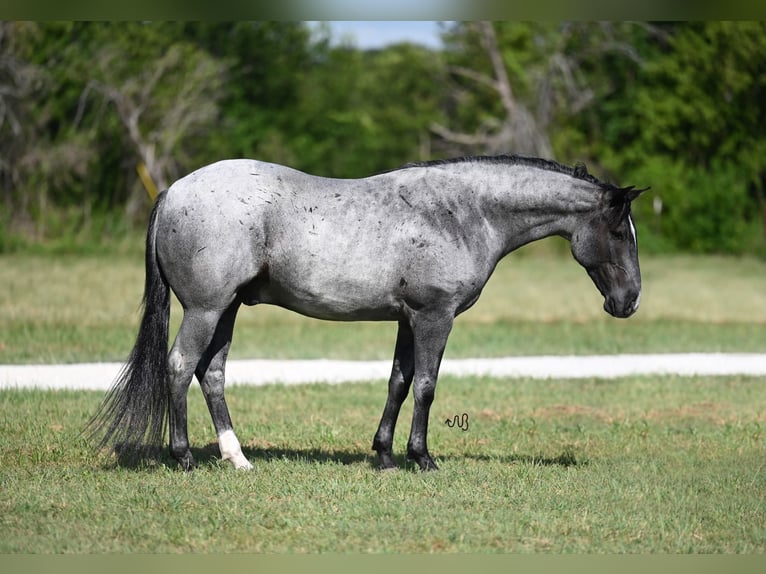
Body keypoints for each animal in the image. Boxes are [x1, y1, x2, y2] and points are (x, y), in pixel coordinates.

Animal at [91, 154, 656, 472]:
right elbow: (426, 385)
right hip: (206, 309)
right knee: (180, 367)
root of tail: (174, 190)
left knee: (211, 374)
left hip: (226, 310)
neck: (463, 211)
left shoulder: (408, 319)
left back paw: (238, 458)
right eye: (617, 230)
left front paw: (383, 455)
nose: (628, 301)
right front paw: (422, 458)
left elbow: (398, 383)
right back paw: (184, 457)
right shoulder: (434, 317)